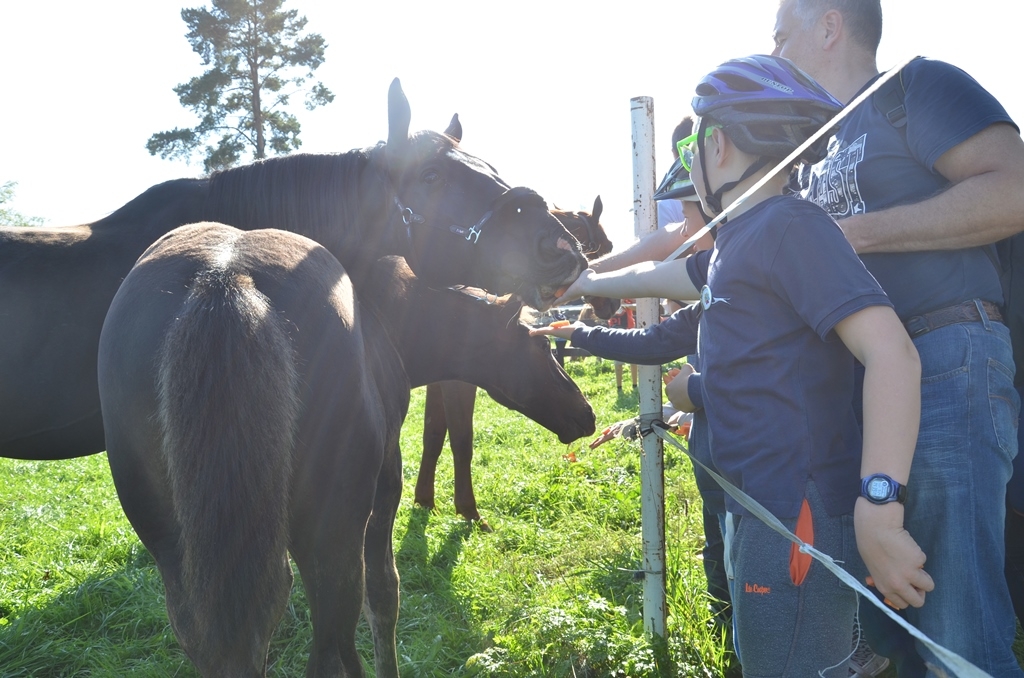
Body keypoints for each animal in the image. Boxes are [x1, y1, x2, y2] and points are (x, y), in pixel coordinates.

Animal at [413, 199, 610, 528]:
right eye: (601, 248)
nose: (612, 303)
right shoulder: (455, 380)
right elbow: (460, 439)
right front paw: (468, 510)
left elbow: (433, 434)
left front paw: (424, 500)